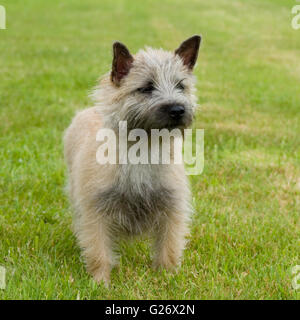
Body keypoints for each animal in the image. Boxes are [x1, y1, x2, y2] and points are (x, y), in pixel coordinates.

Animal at [64, 35, 203, 284]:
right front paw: (100, 282)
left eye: (181, 85)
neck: (142, 150)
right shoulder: (95, 211)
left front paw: (167, 278)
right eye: (146, 88)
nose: (177, 109)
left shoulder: (172, 209)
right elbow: (99, 250)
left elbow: (169, 246)